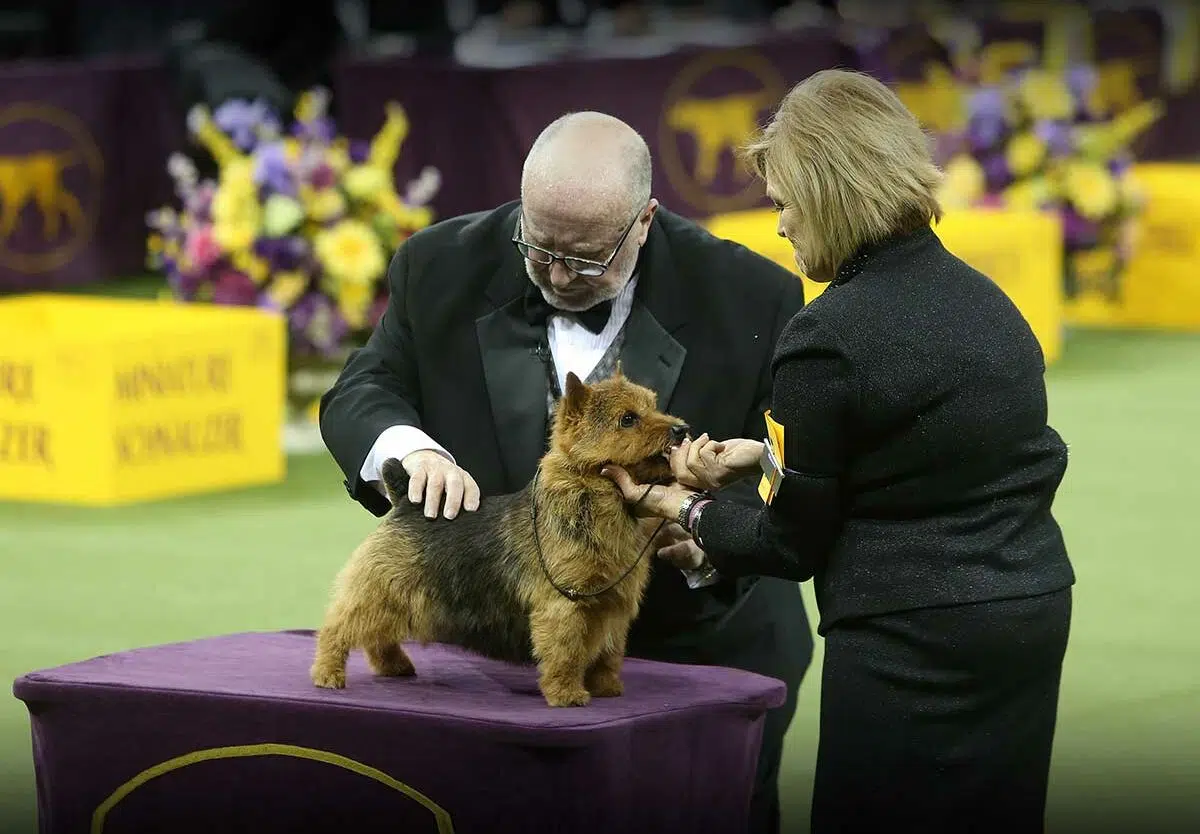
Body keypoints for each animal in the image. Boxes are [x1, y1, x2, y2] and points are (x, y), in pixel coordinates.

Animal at [309, 369, 691, 705]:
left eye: (654, 406)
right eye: (628, 419)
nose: (682, 429)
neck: (595, 497)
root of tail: (405, 501)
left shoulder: (613, 605)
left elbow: (608, 654)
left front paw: (606, 688)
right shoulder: (564, 604)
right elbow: (566, 652)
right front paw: (566, 694)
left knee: (378, 635)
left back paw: (394, 665)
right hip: (379, 590)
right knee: (339, 626)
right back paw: (327, 673)